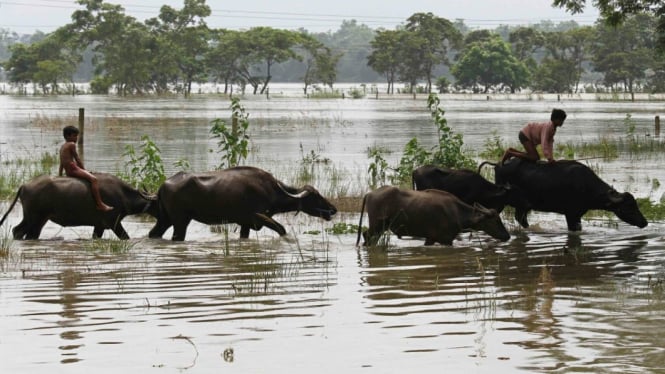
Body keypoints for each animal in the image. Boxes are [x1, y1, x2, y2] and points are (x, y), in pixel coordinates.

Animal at [0, 173, 157, 240]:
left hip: (38, 219)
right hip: (33, 217)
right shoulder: (114, 223)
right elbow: (126, 237)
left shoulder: (99, 226)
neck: (123, 195)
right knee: (18, 231)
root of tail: (24, 185)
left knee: (30, 234)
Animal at [150, 166, 338, 241]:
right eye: (316, 196)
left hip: (165, 220)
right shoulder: (259, 217)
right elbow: (282, 229)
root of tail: (163, 185)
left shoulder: (245, 224)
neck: (271, 190)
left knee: (154, 234)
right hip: (180, 222)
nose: (333, 209)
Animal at [356, 186, 510, 245]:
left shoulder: (430, 239)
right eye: (496, 220)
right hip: (376, 225)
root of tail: (369, 194)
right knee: (366, 235)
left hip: (381, 228)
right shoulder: (445, 240)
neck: (456, 212)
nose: (507, 235)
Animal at [482, 158, 648, 231]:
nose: (644, 222)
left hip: (522, 206)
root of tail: (499, 164)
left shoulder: (577, 215)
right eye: (629, 206)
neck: (586, 186)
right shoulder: (571, 214)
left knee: (520, 218)